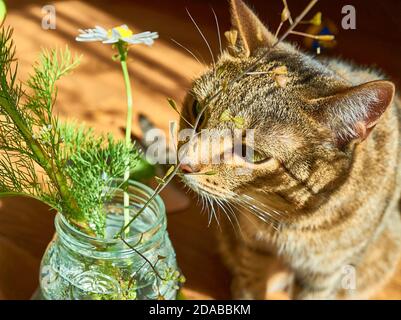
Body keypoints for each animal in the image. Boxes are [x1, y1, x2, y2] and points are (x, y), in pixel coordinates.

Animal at [179, 0, 400, 300]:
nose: (183, 163)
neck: (290, 219)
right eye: (197, 110)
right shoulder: (254, 247)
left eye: (252, 155)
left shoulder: (324, 275)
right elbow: (250, 285)